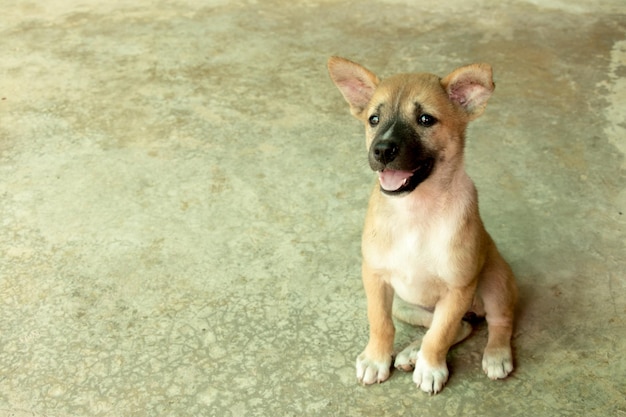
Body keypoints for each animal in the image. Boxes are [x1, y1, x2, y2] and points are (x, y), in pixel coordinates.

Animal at [326, 56, 516, 394]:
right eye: (374, 119)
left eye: (426, 119)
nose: (381, 150)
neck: (415, 212)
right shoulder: (374, 277)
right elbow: (381, 323)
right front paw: (377, 359)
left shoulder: (457, 288)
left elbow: (440, 336)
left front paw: (430, 368)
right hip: (405, 305)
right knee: (460, 326)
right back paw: (411, 352)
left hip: (495, 280)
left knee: (498, 321)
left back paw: (495, 355)